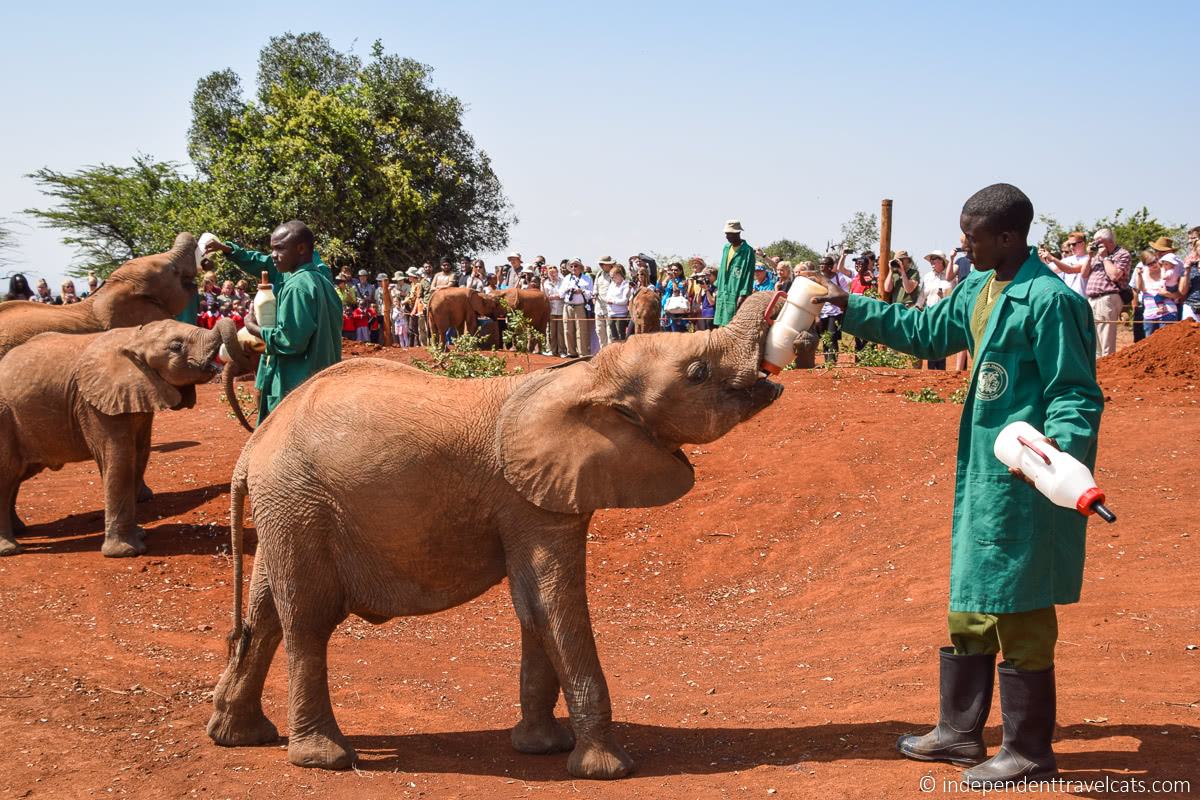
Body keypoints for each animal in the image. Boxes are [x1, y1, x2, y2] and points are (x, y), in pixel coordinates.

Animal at [0, 316, 253, 556]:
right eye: (176, 346)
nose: (250, 427)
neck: (134, 338)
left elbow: (139, 456)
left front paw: (139, 535)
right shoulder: (95, 405)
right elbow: (120, 459)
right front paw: (127, 552)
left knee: (16, 476)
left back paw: (20, 531)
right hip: (4, 416)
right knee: (8, 473)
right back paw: (10, 549)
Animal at [207, 292, 787, 782]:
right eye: (697, 372)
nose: (782, 291)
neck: (587, 376)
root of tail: (254, 443)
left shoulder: (541, 496)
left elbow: (534, 607)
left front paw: (542, 747)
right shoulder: (527, 497)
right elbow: (555, 604)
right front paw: (606, 769)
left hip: (286, 508)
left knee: (264, 614)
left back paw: (236, 735)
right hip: (298, 501)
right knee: (305, 620)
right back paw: (323, 759)